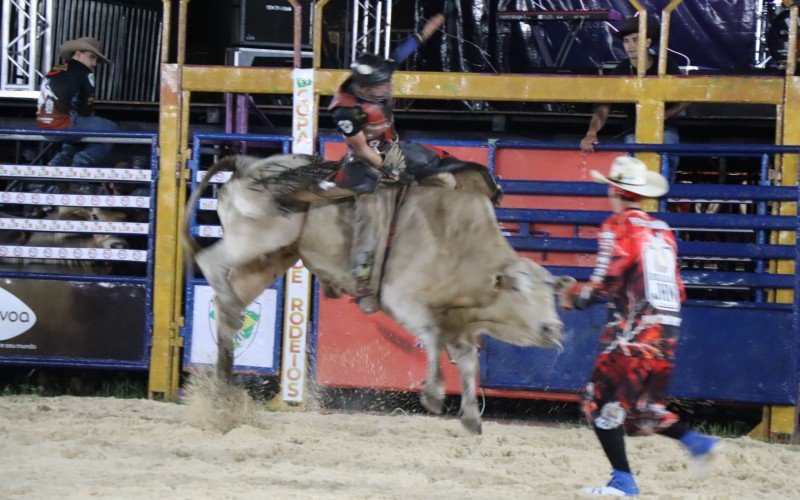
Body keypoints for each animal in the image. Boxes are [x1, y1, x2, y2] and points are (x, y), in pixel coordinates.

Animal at [181, 144, 568, 434]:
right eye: (520, 289)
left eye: (550, 295)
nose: (553, 328)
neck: (458, 242)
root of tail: (250, 164)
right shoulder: (403, 299)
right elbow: (431, 338)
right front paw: (433, 394)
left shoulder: (457, 320)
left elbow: (468, 359)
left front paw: (471, 416)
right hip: (258, 239)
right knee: (213, 264)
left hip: (273, 256)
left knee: (230, 306)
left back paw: (225, 389)